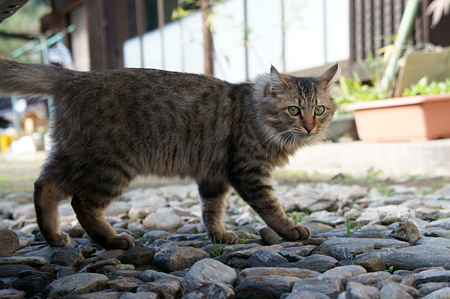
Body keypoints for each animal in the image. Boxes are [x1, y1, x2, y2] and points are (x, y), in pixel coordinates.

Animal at [0, 59, 340, 251]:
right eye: (294, 110)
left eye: (319, 110)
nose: (310, 127)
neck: (256, 115)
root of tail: (75, 76)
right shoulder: (249, 172)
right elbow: (271, 207)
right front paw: (290, 230)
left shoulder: (213, 176)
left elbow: (211, 210)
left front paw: (219, 236)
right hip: (110, 165)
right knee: (81, 202)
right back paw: (112, 241)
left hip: (72, 156)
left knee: (43, 186)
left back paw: (54, 237)